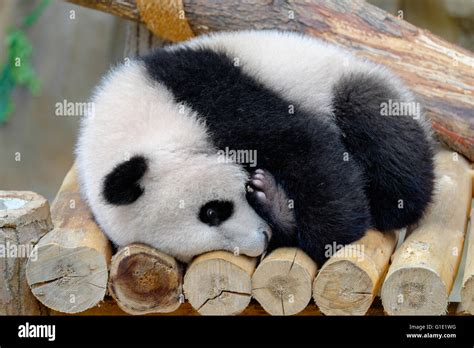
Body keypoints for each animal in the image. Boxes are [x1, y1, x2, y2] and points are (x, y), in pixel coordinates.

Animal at [76, 30, 436, 264]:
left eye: (212, 211)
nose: (261, 241)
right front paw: (279, 209)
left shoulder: (206, 93)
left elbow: (305, 145)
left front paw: (331, 236)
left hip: (355, 86)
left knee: (382, 138)